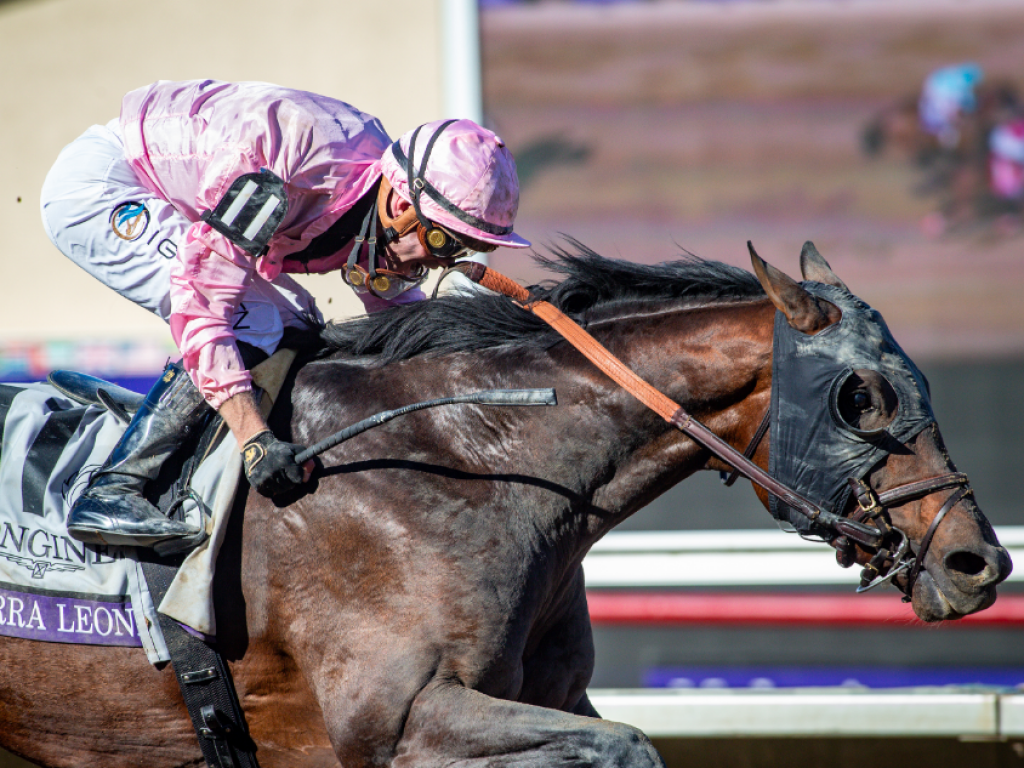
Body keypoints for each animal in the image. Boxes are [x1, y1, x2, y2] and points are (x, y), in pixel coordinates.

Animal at [0, 244, 1007, 768]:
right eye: (863, 397)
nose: (978, 562)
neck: (470, 466)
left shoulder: (549, 698)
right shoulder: (398, 723)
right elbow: (631, 746)